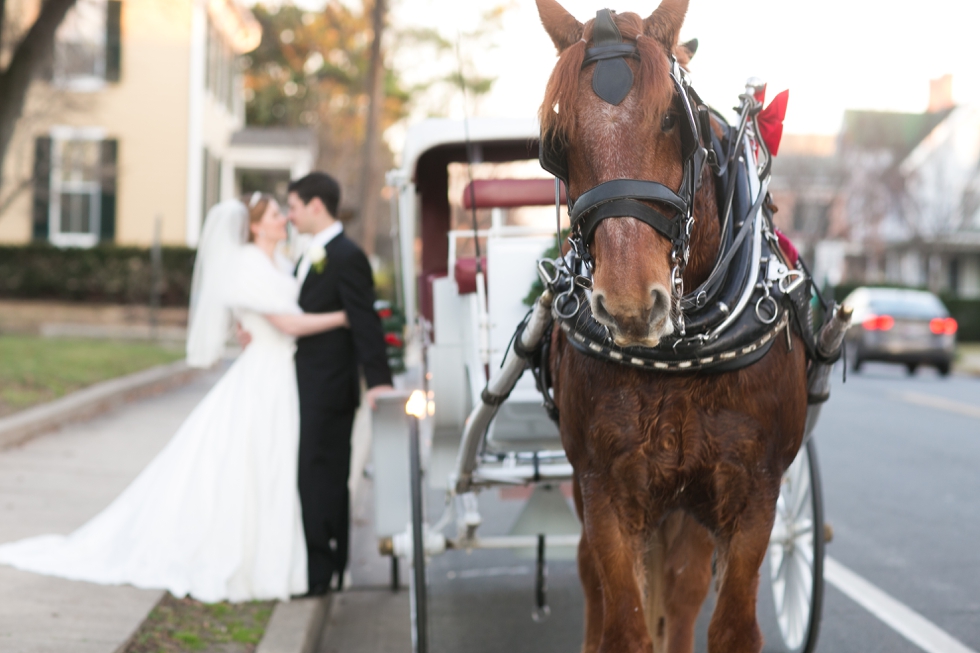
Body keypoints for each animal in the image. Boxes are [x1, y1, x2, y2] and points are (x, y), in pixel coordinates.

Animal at [540, 1, 808, 652]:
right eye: (557, 143)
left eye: (672, 120)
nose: (632, 302)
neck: (682, 356)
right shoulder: (606, 489)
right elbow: (624, 624)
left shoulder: (755, 492)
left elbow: (730, 627)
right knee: (593, 580)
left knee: (683, 592)